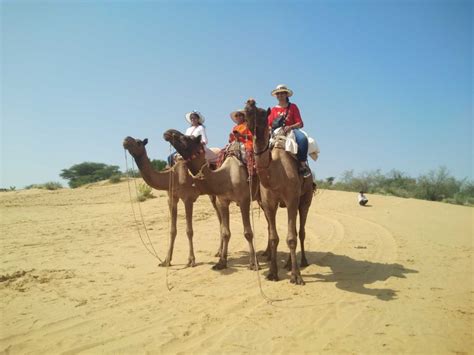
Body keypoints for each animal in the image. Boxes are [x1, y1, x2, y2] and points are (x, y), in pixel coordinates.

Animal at [121, 138, 219, 268]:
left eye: (138, 142)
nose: (126, 140)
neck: (173, 176)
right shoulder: (172, 199)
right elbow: (172, 230)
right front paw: (166, 260)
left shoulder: (188, 199)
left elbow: (189, 231)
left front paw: (191, 260)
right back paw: (219, 252)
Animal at [163, 129, 260, 272]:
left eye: (187, 138)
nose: (168, 132)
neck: (227, 175)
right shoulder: (222, 201)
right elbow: (226, 232)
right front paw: (221, 262)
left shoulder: (244, 200)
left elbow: (248, 232)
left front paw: (254, 263)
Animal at [244, 99, 314, 286]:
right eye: (246, 110)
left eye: (262, 112)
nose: (249, 102)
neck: (275, 172)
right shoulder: (269, 203)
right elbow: (274, 237)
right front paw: (272, 272)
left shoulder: (291, 200)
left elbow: (291, 238)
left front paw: (297, 277)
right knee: (293, 230)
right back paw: (288, 264)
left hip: (305, 199)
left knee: (301, 231)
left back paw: (302, 262)